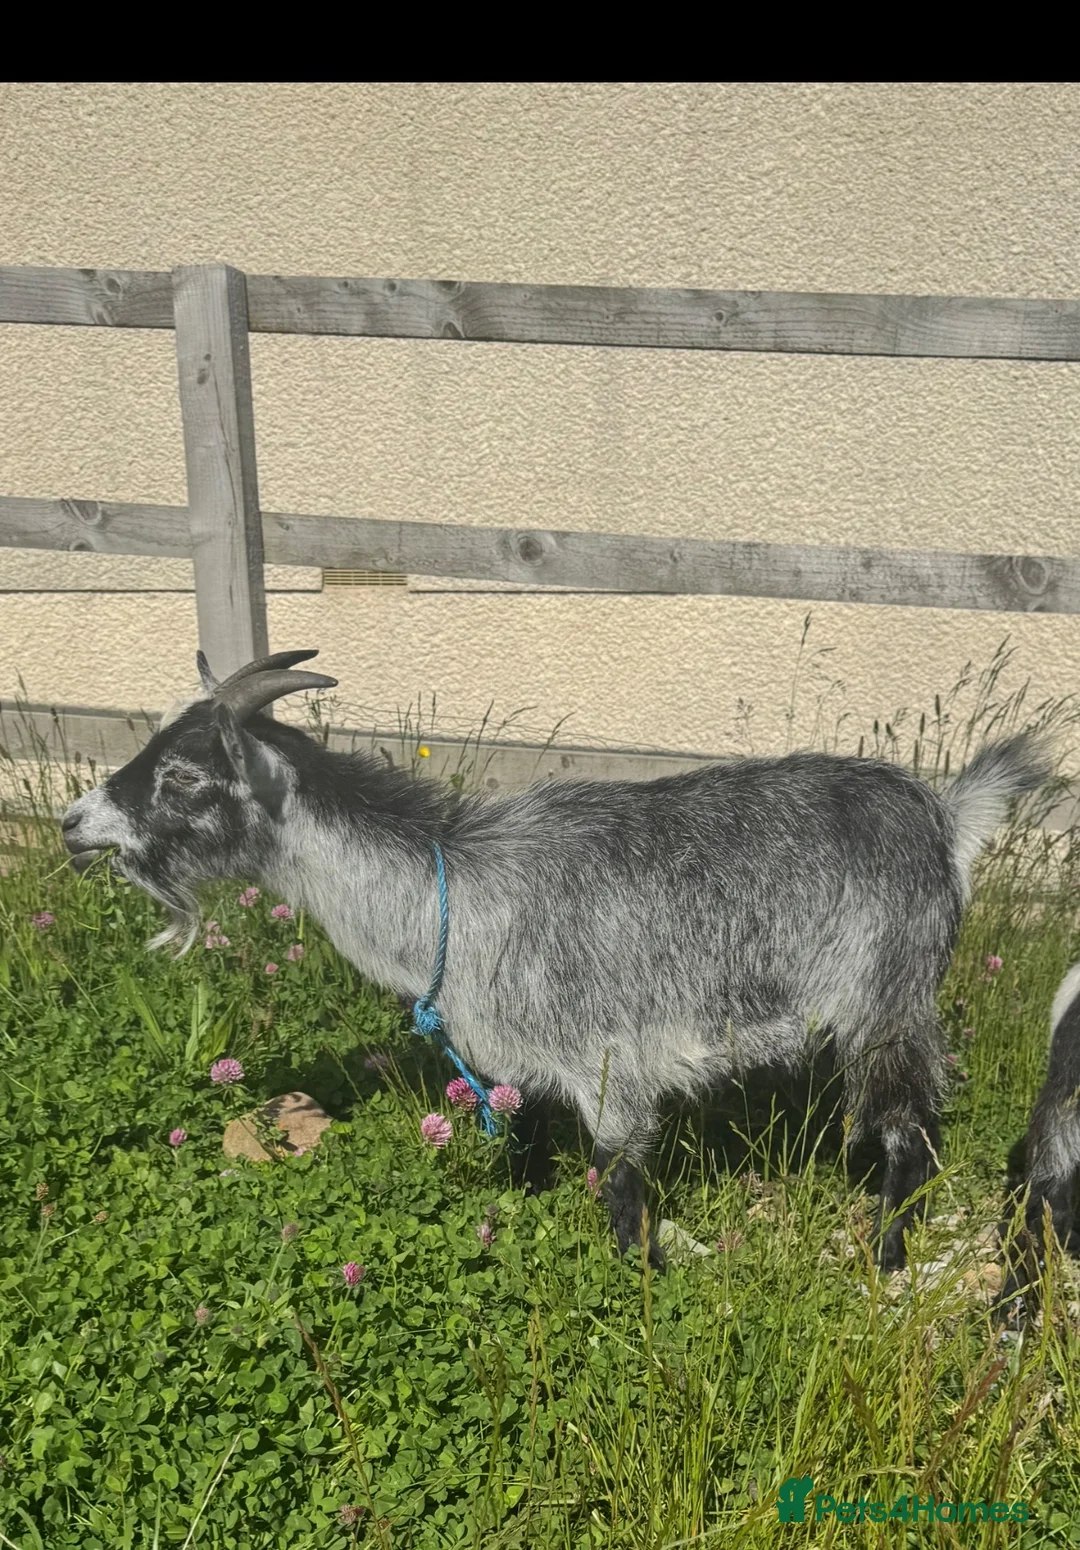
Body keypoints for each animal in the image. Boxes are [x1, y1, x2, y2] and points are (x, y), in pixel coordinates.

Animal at [60, 650, 1050, 1271]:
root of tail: (943, 817)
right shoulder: (516, 1065)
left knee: (912, 1132)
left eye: (184, 776)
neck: (453, 891)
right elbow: (526, 1149)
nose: (74, 823)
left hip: (888, 996)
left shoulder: (610, 1067)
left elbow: (622, 1188)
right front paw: (515, 1227)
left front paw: (636, 1284)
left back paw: (886, 1253)